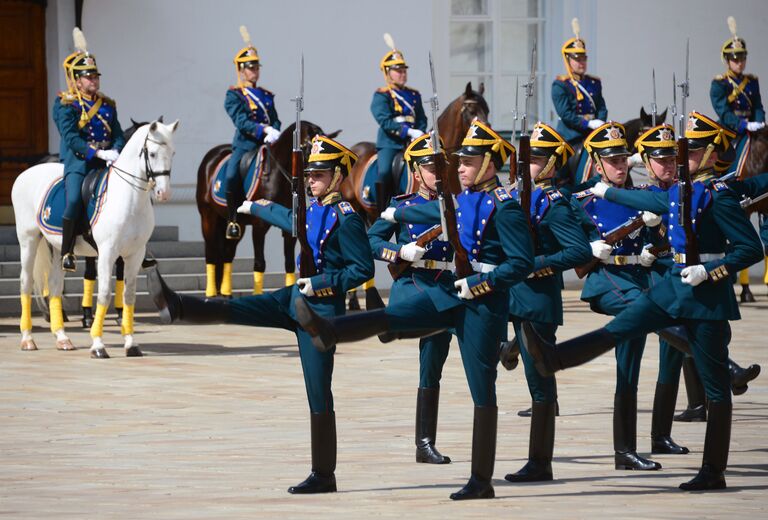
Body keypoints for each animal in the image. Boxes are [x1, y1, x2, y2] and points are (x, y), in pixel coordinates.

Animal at [12, 120, 180, 360]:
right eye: (153, 153)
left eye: (172, 153)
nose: (163, 193)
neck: (129, 197)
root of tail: (26, 172)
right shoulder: (107, 253)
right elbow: (104, 295)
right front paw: (98, 345)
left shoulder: (134, 254)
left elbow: (128, 296)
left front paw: (131, 343)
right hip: (28, 240)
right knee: (26, 282)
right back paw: (27, 338)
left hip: (58, 248)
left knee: (54, 286)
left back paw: (62, 338)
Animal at [196, 119, 338, 296]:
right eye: (307, 148)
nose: (310, 188)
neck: (276, 176)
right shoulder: (259, 227)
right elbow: (259, 263)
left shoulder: (290, 230)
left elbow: (289, 263)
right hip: (208, 217)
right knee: (211, 253)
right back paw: (210, 294)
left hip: (235, 225)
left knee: (227, 254)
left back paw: (226, 294)